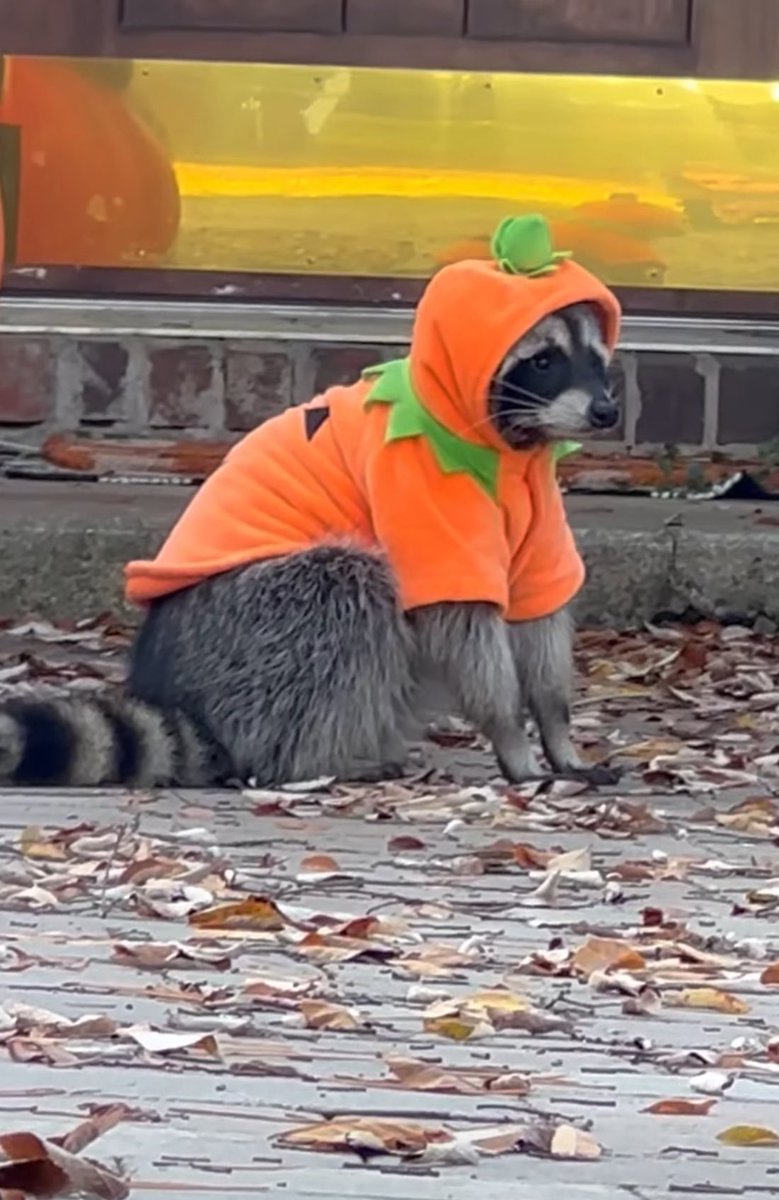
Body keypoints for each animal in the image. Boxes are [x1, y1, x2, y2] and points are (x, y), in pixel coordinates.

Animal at [0, 294, 621, 789]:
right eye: (544, 361)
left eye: (597, 359)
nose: (606, 410)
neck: (515, 447)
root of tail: (180, 688)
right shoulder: (418, 487)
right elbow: (461, 617)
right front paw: (510, 735)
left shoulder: (538, 514)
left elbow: (539, 609)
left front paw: (556, 728)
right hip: (252, 624)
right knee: (346, 589)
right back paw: (312, 761)